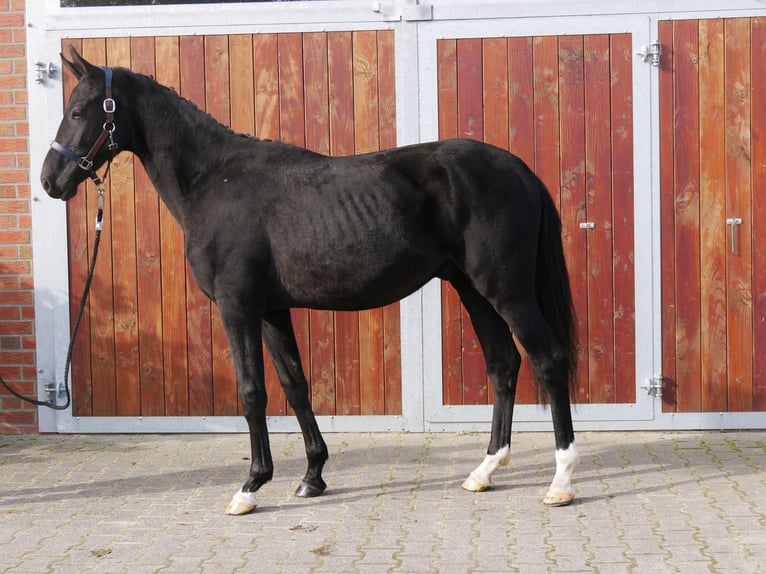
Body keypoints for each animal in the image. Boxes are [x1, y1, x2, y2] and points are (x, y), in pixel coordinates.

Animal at [40, 48, 584, 516]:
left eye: (81, 109)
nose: (50, 181)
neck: (214, 182)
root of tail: (520, 170)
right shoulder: (271, 310)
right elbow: (295, 385)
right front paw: (312, 476)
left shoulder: (237, 307)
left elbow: (252, 391)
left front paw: (250, 486)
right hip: (473, 290)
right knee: (504, 365)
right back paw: (484, 470)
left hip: (508, 291)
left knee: (549, 361)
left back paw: (560, 482)